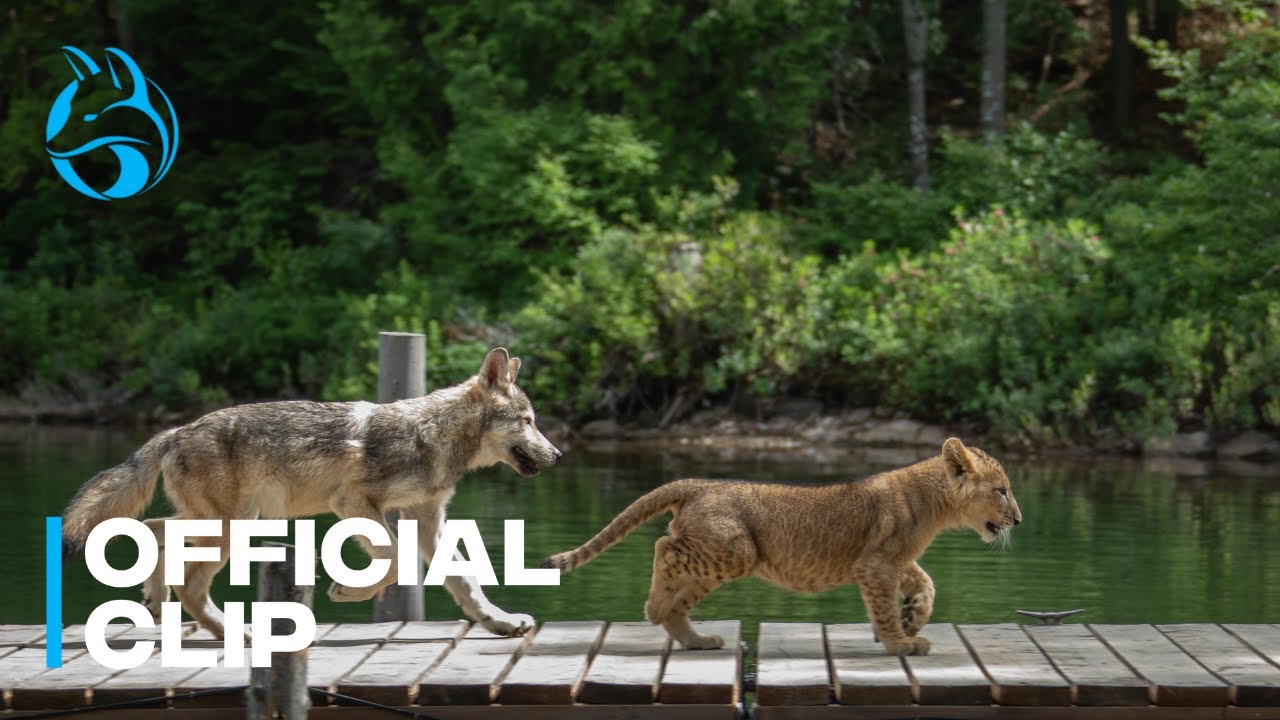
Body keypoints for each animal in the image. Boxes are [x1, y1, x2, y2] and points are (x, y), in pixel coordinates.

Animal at [63, 348, 559, 638]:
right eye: (529, 422)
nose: (557, 455)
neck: (434, 435)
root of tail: (176, 431)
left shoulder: (427, 519)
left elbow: (466, 581)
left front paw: (501, 622)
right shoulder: (354, 502)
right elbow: (396, 561)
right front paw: (347, 591)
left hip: (221, 522)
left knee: (153, 530)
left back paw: (158, 605)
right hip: (232, 528)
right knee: (189, 580)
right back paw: (236, 634)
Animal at [540, 438, 1021, 655]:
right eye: (1002, 490)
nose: (1017, 519)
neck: (937, 504)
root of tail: (699, 483)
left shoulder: (892, 561)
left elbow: (926, 583)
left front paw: (913, 618)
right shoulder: (875, 565)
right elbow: (885, 607)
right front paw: (901, 643)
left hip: (721, 558)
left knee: (678, 586)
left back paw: (696, 638)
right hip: (735, 551)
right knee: (665, 547)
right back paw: (655, 608)